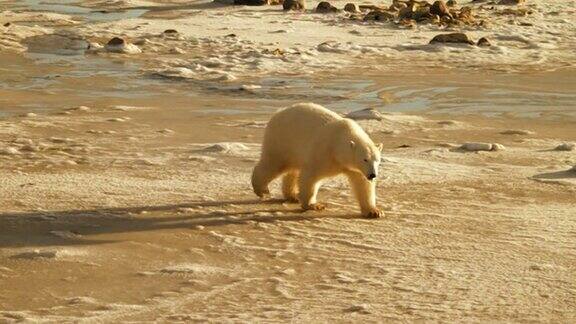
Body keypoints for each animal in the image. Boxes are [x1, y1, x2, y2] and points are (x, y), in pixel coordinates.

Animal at [251, 102, 382, 219]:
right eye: (365, 159)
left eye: (377, 160)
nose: (372, 175)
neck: (338, 143)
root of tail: (278, 113)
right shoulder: (324, 152)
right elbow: (311, 177)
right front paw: (314, 205)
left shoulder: (355, 168)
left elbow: (362, 184)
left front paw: (374, 211)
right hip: (282, 140)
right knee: (274, 163)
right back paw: (262, 190)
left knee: (292, 170)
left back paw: (293, 196)